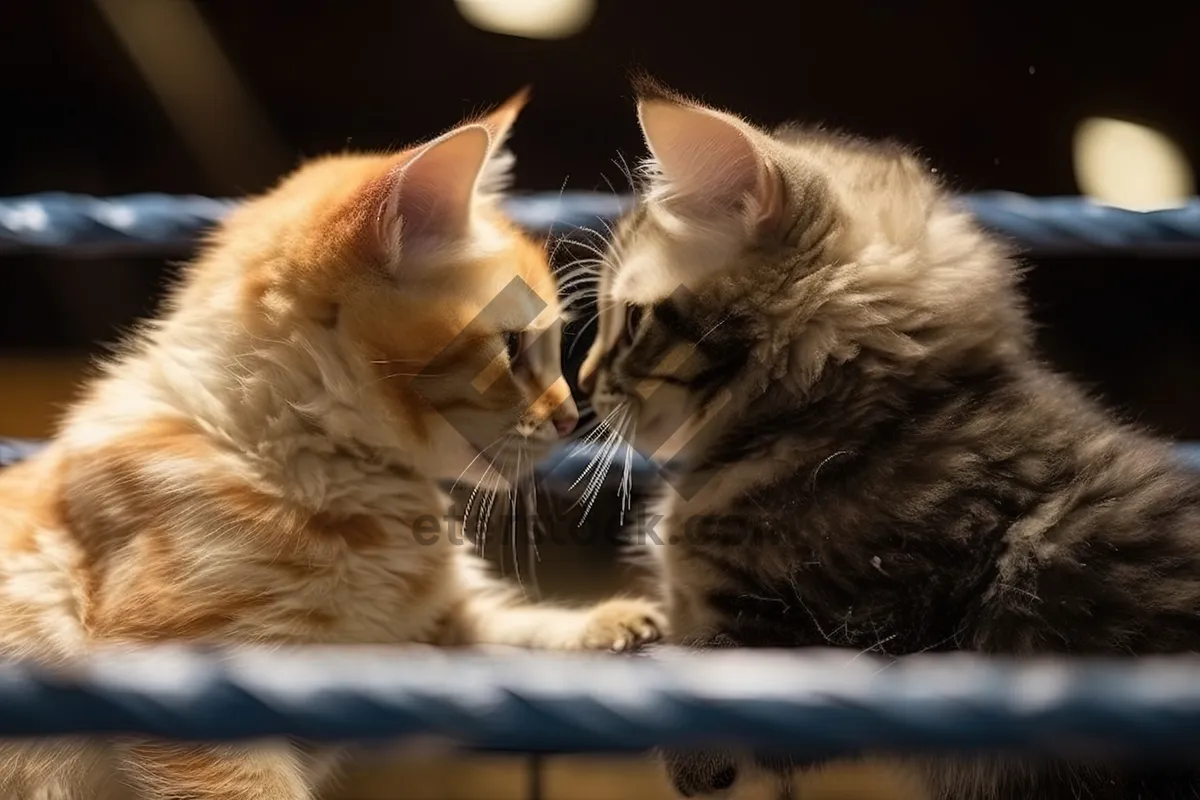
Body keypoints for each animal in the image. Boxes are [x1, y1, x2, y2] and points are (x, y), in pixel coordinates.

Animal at [0, 94, 667, 800]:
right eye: (513, 349)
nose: (570, 416)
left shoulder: (431, 636)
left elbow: (517, 630)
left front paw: (608, 623)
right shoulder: (188, 682)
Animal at [576, 82, 1200, 800]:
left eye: (629, 323)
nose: (582, 383)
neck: (866, 422)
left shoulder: (846, 629)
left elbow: (715, 675)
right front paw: (612, 626)